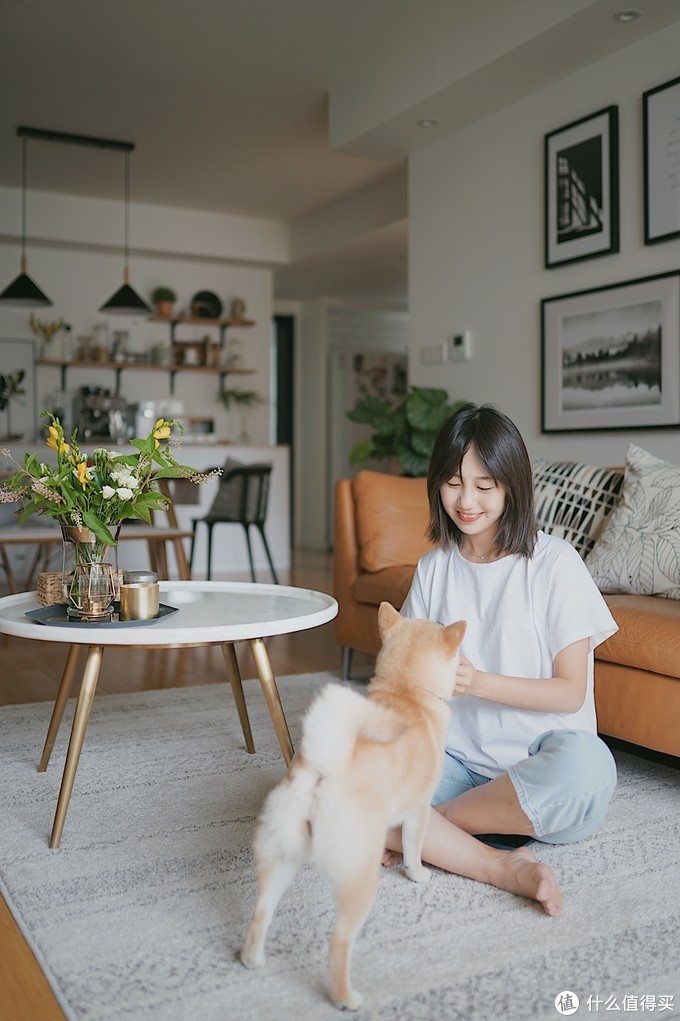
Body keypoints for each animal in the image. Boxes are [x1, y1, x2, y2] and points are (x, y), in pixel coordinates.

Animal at [239, 600, 465, 1008]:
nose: (442, 615)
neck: (406, 691)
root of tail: (322, 769)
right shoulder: (419, 810)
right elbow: (413, 849)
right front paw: (417, 873)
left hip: (281, 858)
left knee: (261, 914)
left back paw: (253, 959)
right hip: (358, 878)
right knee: (339, 940)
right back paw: (346, 997)